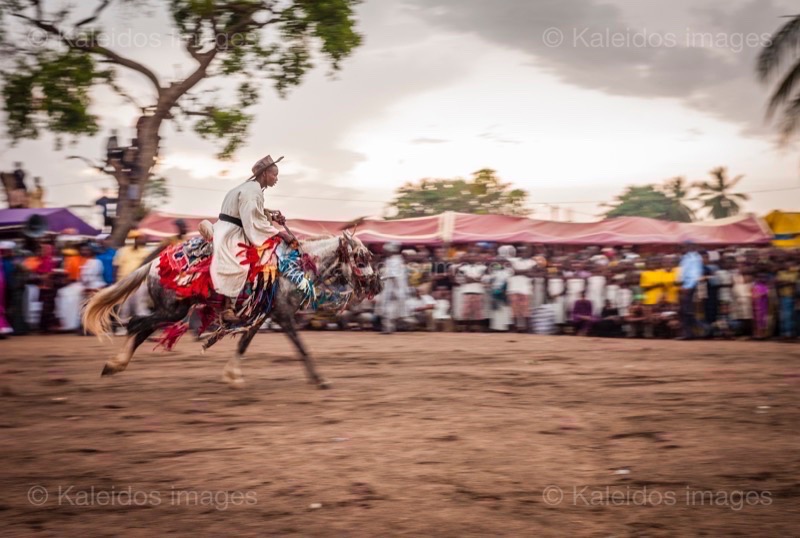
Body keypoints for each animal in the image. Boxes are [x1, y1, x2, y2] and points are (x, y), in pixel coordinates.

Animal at [83, 230, 380, 386]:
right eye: (360, 258)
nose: (377, 284)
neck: (292, 268)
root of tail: (154, 263)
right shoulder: (283, 315)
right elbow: (301, 346)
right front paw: (319, 380)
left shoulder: (263, 316)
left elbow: (244, 344)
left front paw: (232, 374)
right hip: (172, 310)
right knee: (136, 324)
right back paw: (114, 363)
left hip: (170, 311)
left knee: (142, 328)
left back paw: (115, 364)